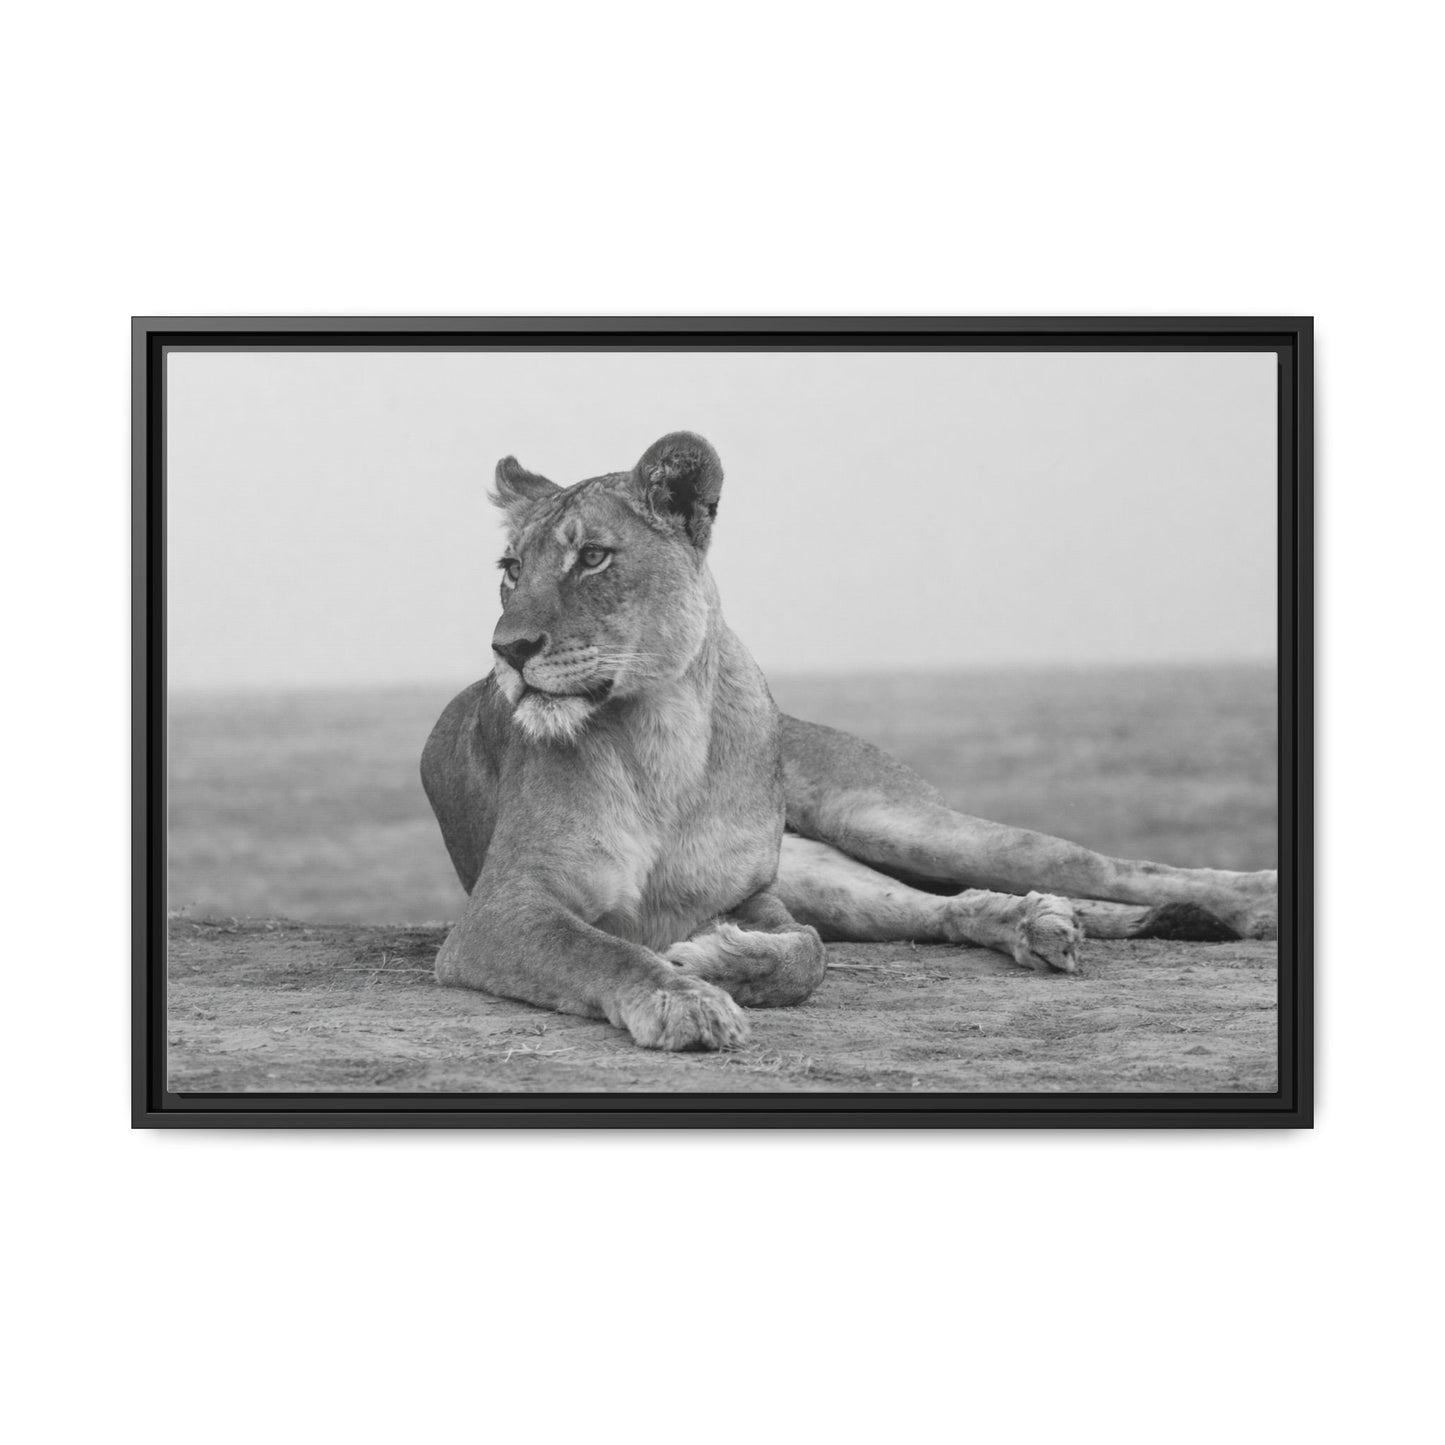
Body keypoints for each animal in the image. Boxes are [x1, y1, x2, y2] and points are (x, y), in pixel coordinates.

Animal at [421, 431, 1278, 1051]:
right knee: (946, 906)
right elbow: (606, 948)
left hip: (885, 818)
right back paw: (1036, 922)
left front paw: (708, 960)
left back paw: (1251, 897)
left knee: (1100, 865)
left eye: (593, 556)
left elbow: (807, 956)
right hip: (832, 873)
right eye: (510, 567)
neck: (660, 736)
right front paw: (685, 997)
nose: (507, 649)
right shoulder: (502, 910)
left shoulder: (750, 894)